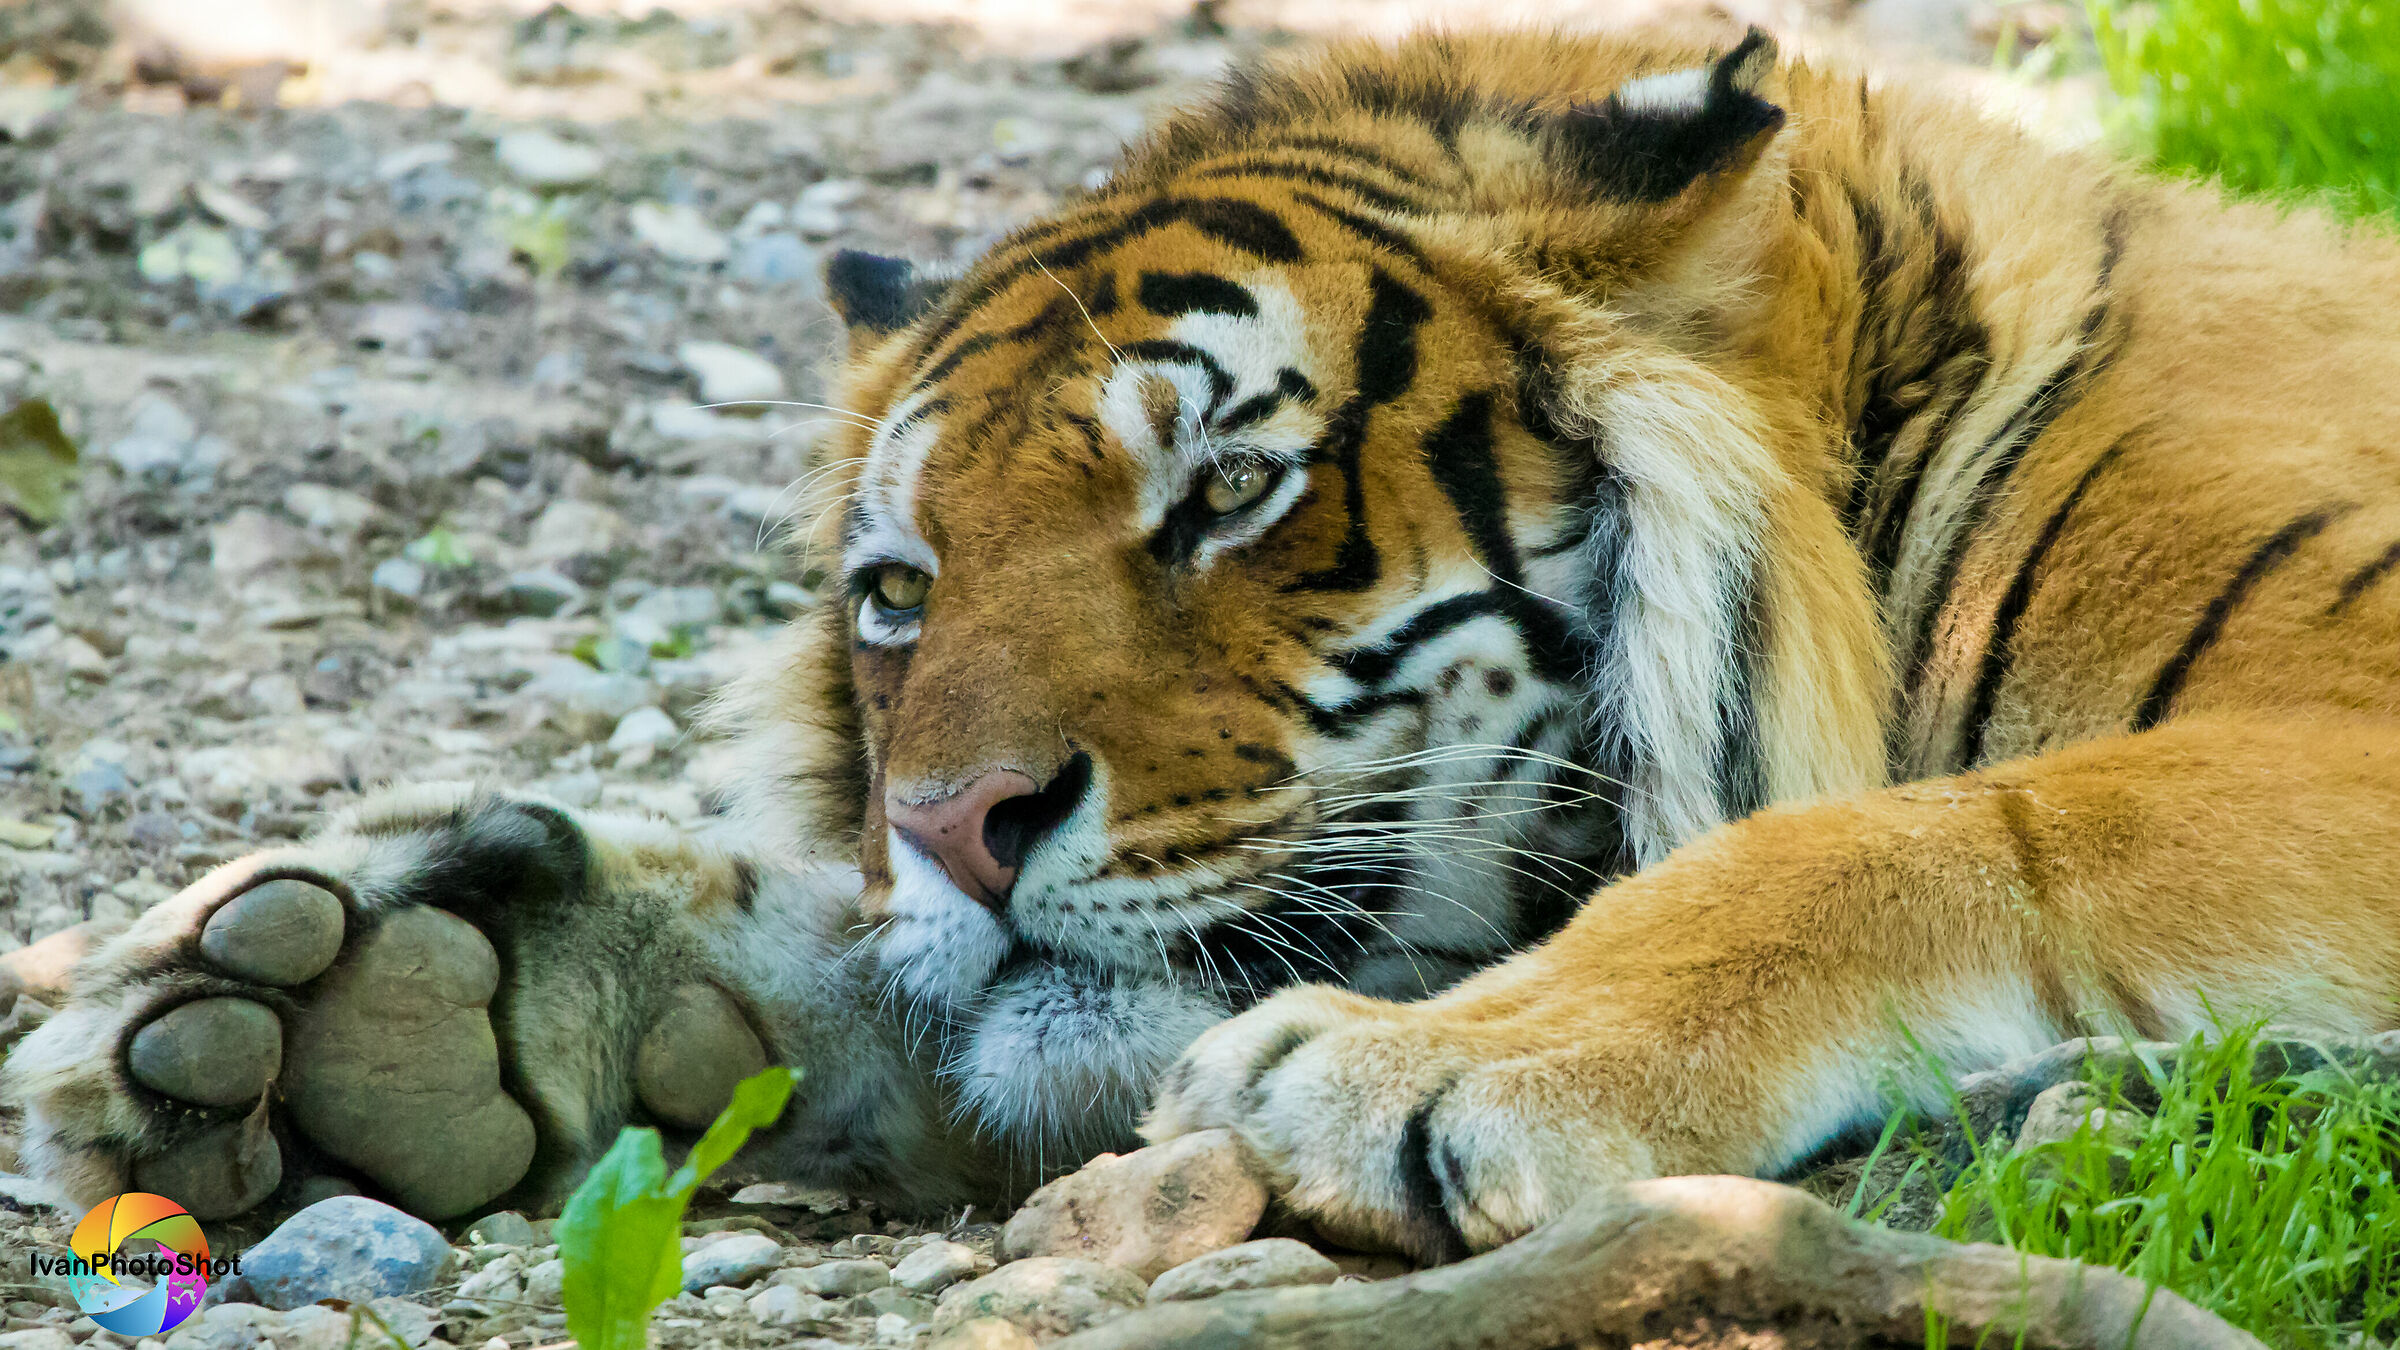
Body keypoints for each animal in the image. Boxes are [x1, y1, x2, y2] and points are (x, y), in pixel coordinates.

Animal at [13, 20, 2400, 1265]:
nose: (957, 825)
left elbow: (1939, 831)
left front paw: (1432, 1068)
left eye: (1233, 490)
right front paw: (378, 995)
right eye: (899, 596)